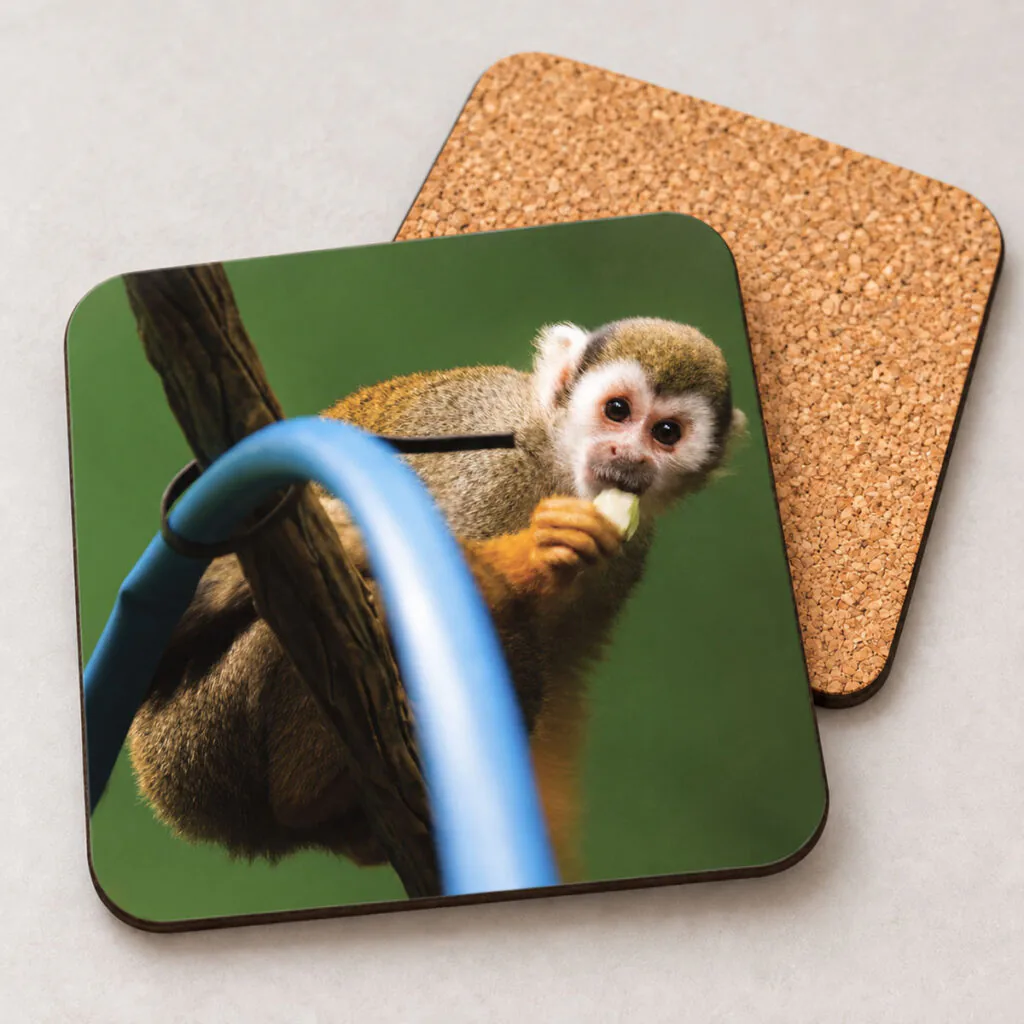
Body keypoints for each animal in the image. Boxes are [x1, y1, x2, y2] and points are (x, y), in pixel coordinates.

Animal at [127, 316, 747, 882]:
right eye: (617, 411)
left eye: (665, 432)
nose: (628, 455)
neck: (554, 463)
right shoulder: (489, 467)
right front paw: (526, 555)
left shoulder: (629, 553)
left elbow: (565, 679)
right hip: (209, 727)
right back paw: (310, 791)